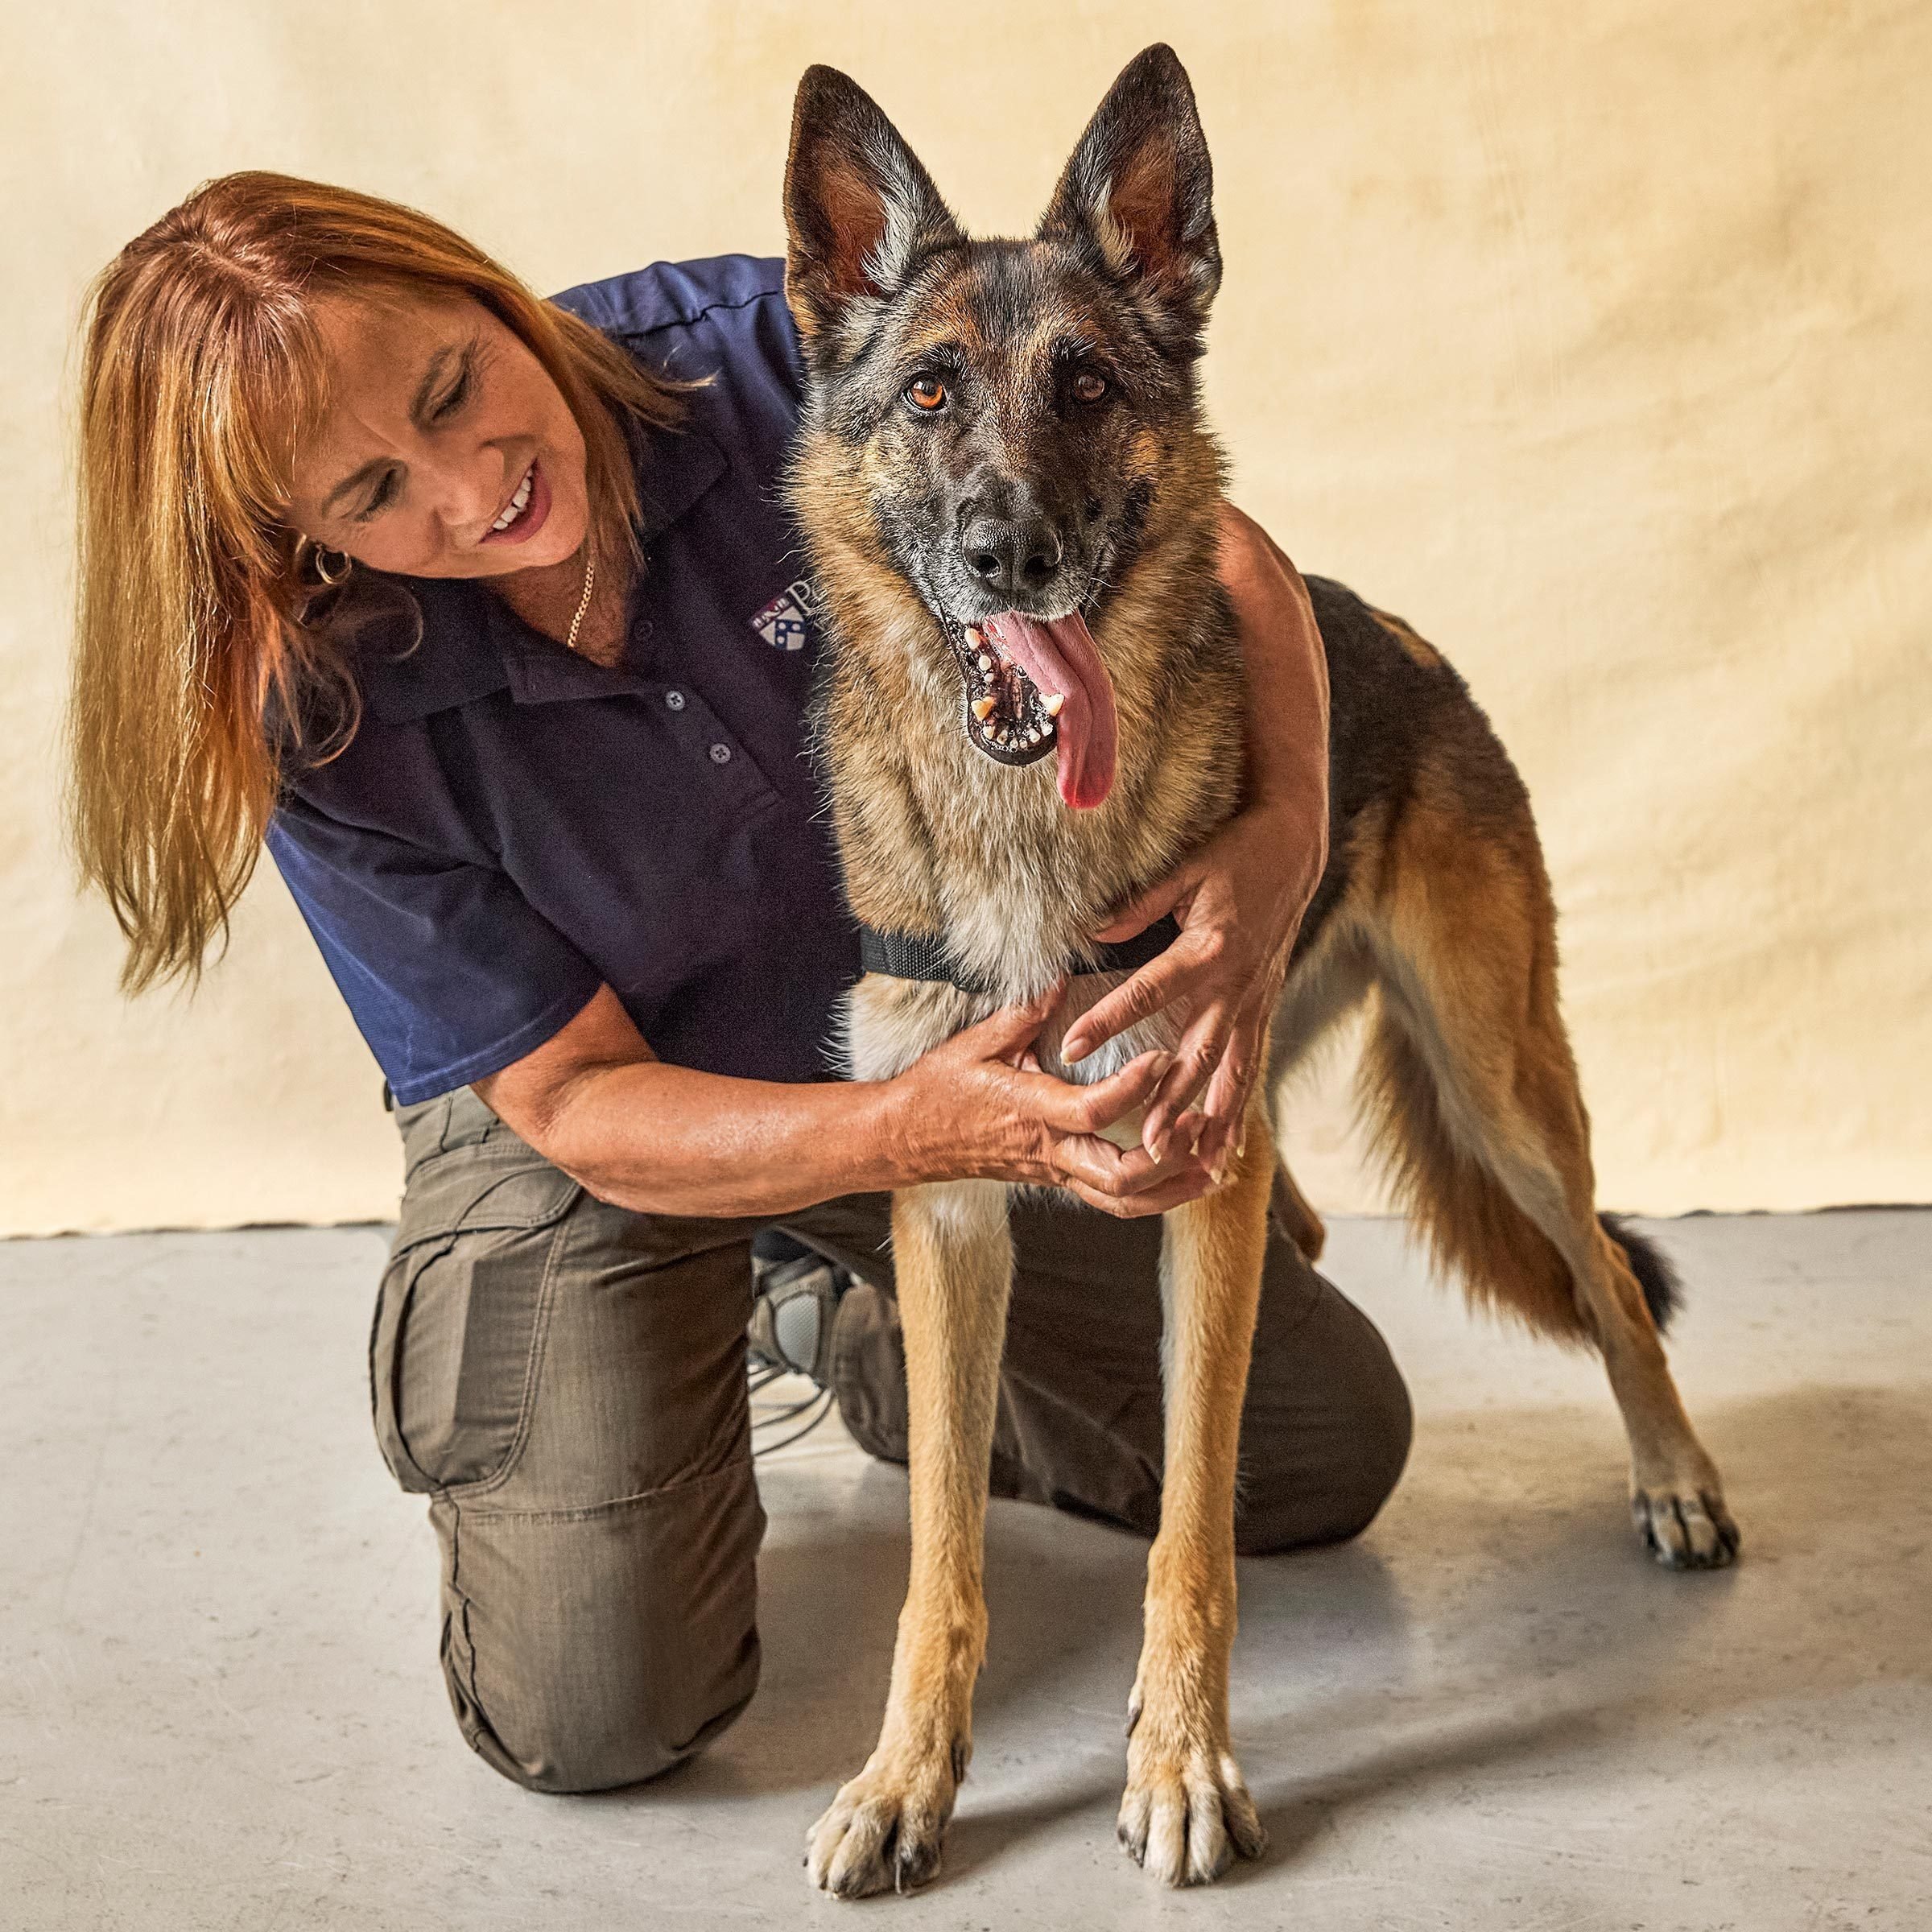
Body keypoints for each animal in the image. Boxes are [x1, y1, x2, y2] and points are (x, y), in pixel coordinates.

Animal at [776, 45, 1746, 1901]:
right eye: (930, 393)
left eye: (1086, 384)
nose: (1012, 553)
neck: (1030, 835)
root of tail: (1415, 645)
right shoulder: (952, 1207)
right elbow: (943, 1551)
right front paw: (908, 1776)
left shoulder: (1196, 1187)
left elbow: (1191, 1530)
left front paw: (1182, 1762)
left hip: (1503, 1088)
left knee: (1600, 1269)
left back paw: (1675, 1481)